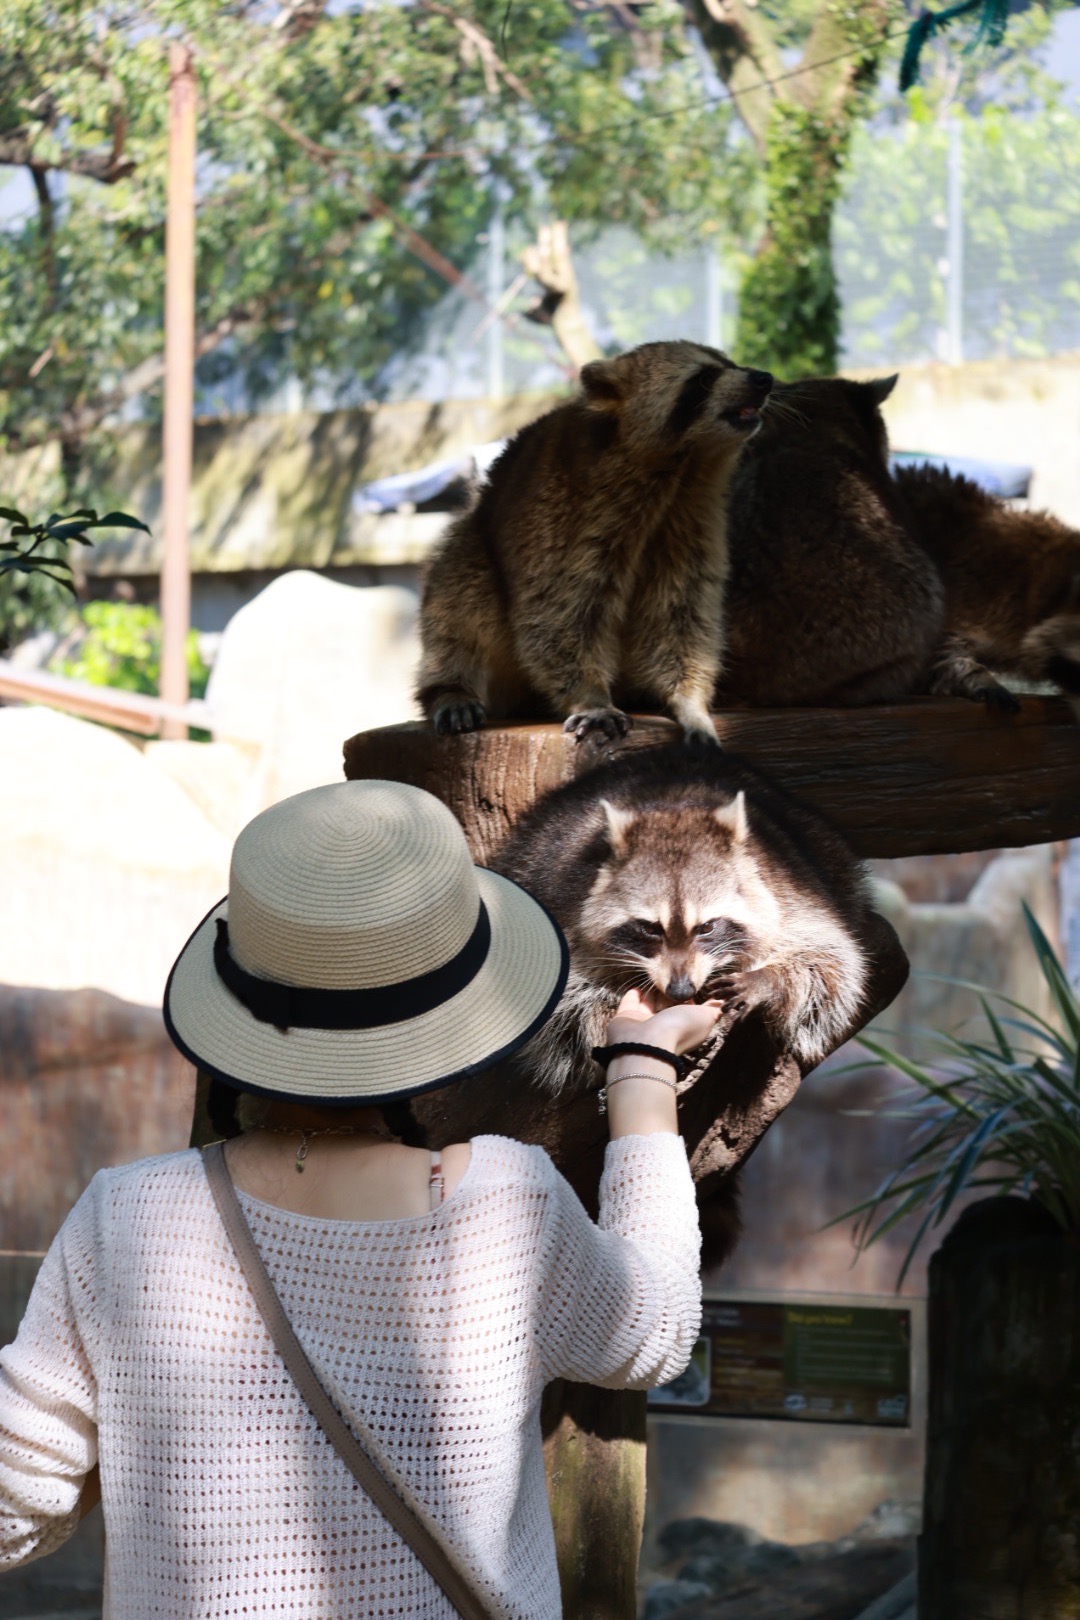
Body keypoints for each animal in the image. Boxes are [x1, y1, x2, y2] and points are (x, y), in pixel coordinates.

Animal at [417, 345, 777, 748]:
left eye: (731, 363)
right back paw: (450, 687)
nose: (763, 378)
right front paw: (590, 696)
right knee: (458, 593)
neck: (685, 466)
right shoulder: (569, 515)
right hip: (475, 541)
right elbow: (556, 615)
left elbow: (682, 616)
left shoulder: (693, 521)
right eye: (704, 377)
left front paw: (690, 702)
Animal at [495, 741, 874, 1095]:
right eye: (649, 928)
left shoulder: (791, 893)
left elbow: (829, 963)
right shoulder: (562, 909)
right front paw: (603, 1020)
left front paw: (767, 980)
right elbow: (558, 1006)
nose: (680, 990)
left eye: (706, 927)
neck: (672, 810)